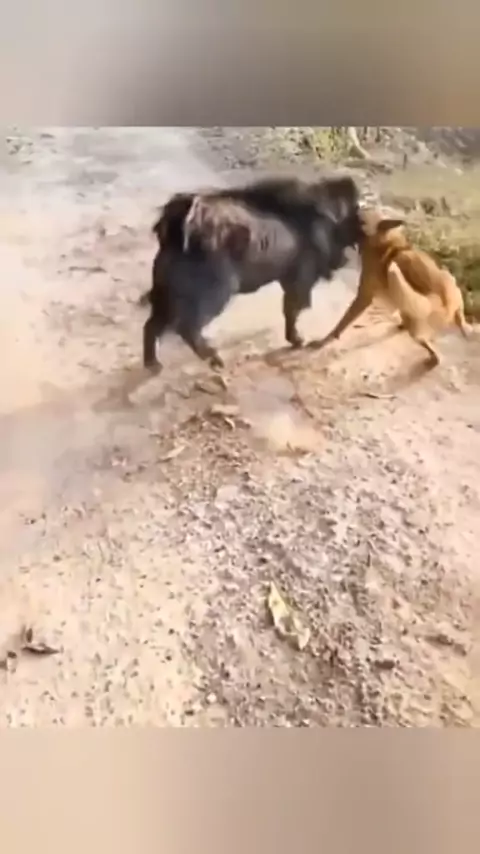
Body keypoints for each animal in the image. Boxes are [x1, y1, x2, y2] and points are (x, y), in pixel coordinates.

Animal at [140, 175, 363, 372]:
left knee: (152, 325)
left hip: (165, 295)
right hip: (213, 295)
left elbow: (290, 310)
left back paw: (153, 364)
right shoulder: (300, 280)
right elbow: (292, 310)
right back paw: (215, 360)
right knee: (186, 327)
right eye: (353, 214)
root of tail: (177, 233)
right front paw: (298, 340)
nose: (347, 258)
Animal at [309, 208, 471, 367]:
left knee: (434, 350)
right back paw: (464, 328)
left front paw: (326, 340)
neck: (383, 241)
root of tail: (444, 303)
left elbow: (342, 322)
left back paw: (433, 356)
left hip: (418, 324)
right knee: (459, 318)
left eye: (360, 221)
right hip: (448, 279)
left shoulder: (363, 296)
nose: (334, 225)